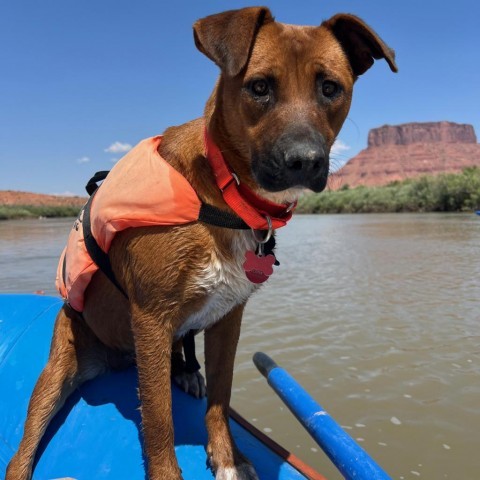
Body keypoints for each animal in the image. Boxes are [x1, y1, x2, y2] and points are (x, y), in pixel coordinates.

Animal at [6, 7, 398, 480]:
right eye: (260, 87)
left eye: (330, 88)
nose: (303, 161)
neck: (223, 192)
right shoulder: (151, 320)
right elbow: (159, 420)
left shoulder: (229, 317)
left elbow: (221, 396)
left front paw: (227, 456)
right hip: (58, 369)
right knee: (23, 448)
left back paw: (186, 370)